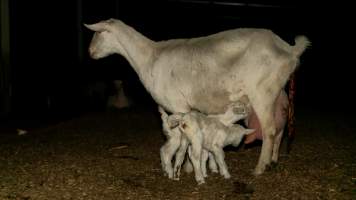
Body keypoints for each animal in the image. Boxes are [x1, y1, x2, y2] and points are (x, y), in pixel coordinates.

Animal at [85, 18, 310, 175]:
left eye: (99, 33)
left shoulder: (178, 105)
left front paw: (184, 168)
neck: (149, 58)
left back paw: (260, 168)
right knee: (280, 126)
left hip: (262, 91)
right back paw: (273, 161)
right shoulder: (188, 108)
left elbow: (184, 139)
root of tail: (289, 49)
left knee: (270, 129)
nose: (90, 52)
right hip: (278, 92)